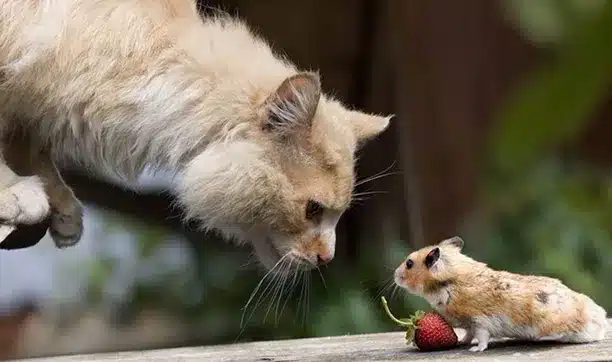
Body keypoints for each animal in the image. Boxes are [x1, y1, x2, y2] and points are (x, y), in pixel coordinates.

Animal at [0, 0, 392, 272]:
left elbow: (31, 147)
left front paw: (61, 207)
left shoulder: (31, 109)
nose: (328, 258)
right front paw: (16, 192)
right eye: (313, 209)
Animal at [392, 236, 608, 352]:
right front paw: (461, 343)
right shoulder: (469, 325)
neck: (448, 282)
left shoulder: (479, 321)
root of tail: (600, 321)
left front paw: (474, 350)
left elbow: (482, 338)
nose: (395, 275)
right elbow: (467, 335)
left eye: (409, 263)